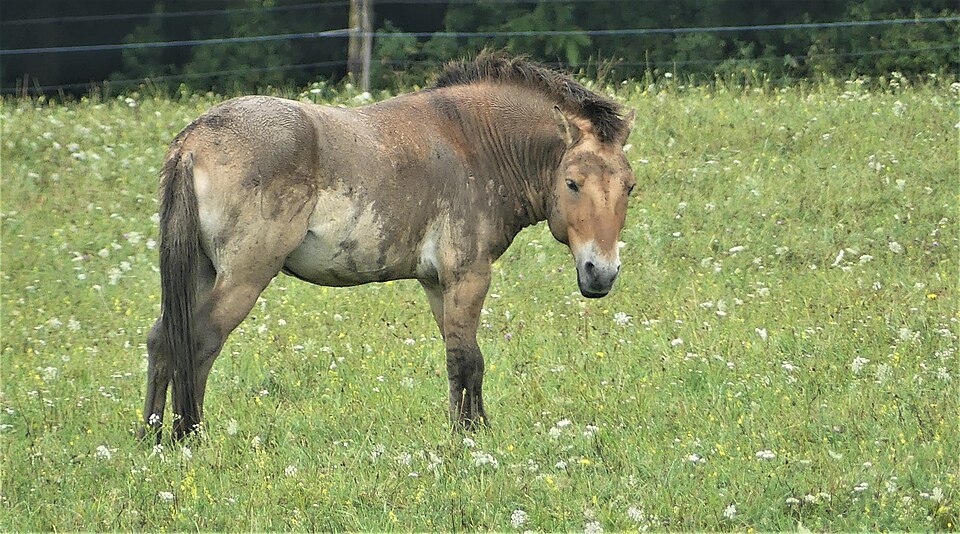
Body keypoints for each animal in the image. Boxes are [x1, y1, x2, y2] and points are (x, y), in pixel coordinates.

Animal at [142, 52, 637, 441]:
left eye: (629, 186)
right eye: (572, 183)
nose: (601, 272)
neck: (473, 143)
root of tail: (194, 140)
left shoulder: (438, 284)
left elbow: (459, 358)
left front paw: (468, 430)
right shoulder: (468, 276)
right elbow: (469, 359)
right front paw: (471, 439)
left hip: (202, 271)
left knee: (164, 338)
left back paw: (152, 437)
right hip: (244, 274)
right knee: (200, 340)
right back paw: (189, 435)